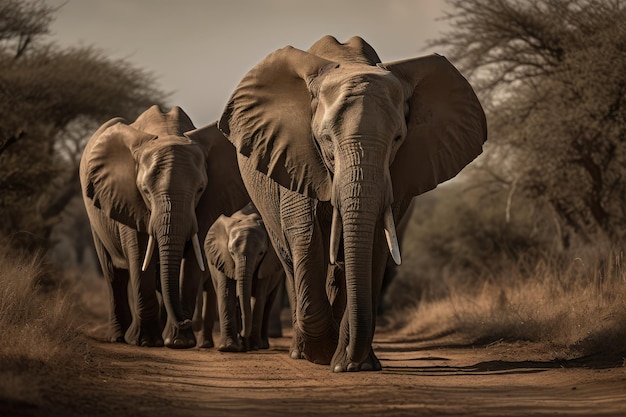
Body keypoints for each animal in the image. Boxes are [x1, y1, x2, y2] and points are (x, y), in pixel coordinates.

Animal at [80, 104, 249, 348]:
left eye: (200, 189)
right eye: (145, 191)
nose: (188, 321)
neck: (167, 131)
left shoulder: (206, 205)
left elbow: (191, 262)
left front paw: (179, 342)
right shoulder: (128, 199)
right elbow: (140, 255)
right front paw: (146, 342)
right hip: (96, 218)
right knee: (114, 274)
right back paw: (119, 337)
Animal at [204, 202, 284, 352]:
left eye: (261, 253)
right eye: (231, 252)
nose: (242, 334)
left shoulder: (267, 263)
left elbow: (258, 297)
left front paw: (254, 346)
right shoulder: (223, 258)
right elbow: (226, 292)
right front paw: (229, 348)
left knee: (268, 301)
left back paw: (261, 345)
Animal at [219, 35, 488, 372]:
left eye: (398, 139)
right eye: (326, 140)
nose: (347, 357)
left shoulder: (396, 176)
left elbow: (374, 244)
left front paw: (351, 365)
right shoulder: (297, 156)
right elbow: (306, 238)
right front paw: (323, 354)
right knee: (290, 259)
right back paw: (300, 352)